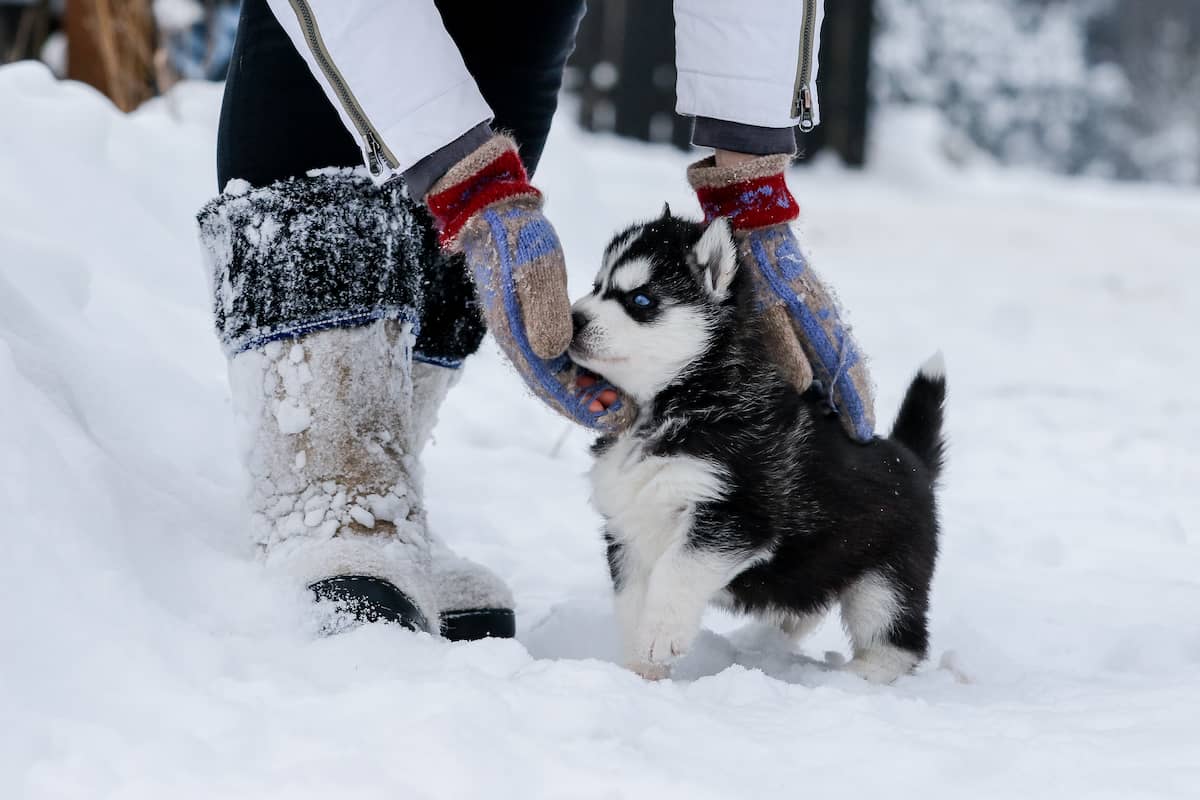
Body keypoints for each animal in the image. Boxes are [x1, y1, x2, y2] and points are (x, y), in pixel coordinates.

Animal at [571, 211, 945, 681]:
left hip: (884, 579)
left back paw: (853, 678)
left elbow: (676, 572)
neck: (680, 399)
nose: (572, 318)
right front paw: (640, 671)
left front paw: (659, 635)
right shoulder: (629, 523)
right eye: (597, 285)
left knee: (898, 641)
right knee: (805, 606)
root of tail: (911, 459)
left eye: (640, 300)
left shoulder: (736, 514)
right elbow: (631, 599)